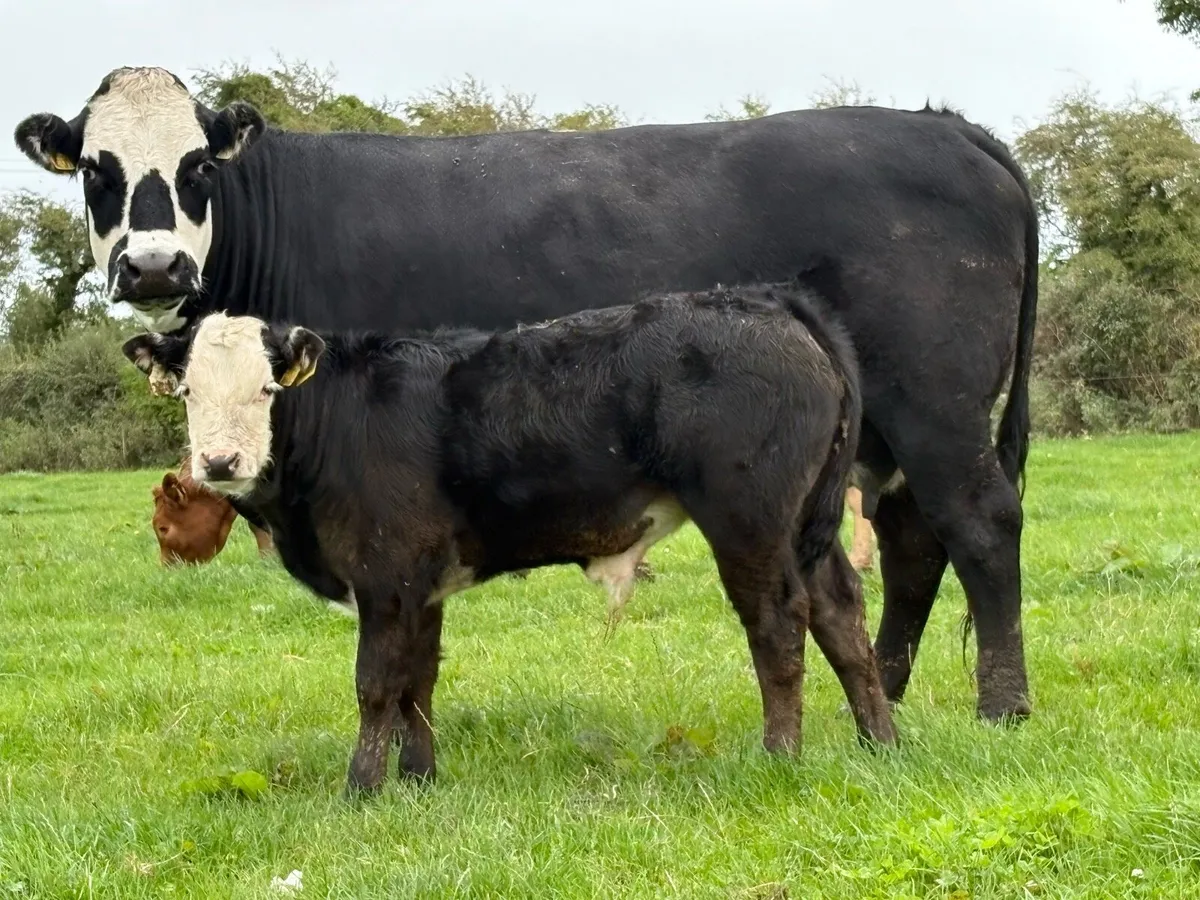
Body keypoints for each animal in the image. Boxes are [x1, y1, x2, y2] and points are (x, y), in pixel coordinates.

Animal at [16, 66, 1039, 722]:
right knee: (909, 544)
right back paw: (892, 694)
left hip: (935, 409)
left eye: (196, 167)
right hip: (879, 439)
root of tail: (944, 123)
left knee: (978, 525)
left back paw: (1003, 703)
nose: (154, 266)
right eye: (100, 171)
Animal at [120, 283, 899, 791]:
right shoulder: (421, 583)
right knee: (841, 613)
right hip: (803, 524)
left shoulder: (385, 577)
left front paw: (362, 787)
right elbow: (417, 682)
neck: (340, 423)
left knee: (778, 623)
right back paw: (881, 742)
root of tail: (769, 302)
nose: (221, 462)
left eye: (267, 390)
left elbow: (376, 686)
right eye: (188, 392)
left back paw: (781, 756)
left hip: (749, 521)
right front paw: (420, 778)